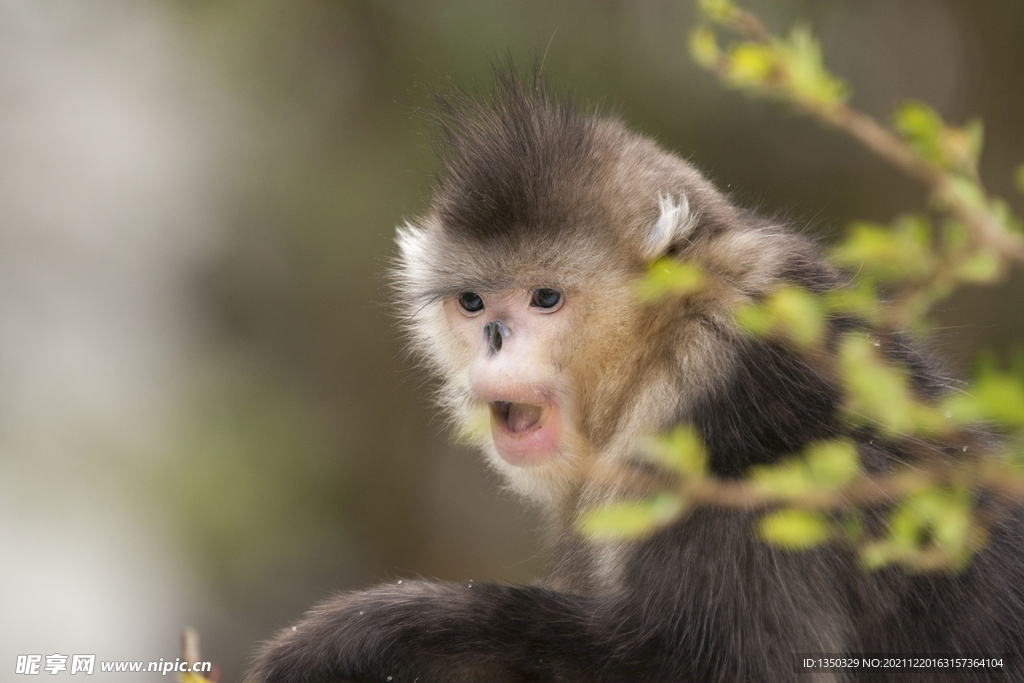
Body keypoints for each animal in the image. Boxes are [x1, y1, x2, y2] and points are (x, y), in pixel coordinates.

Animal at [247, 70, 1024, 683]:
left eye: (546, 298)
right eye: (472, 303)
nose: (494, 343)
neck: (664, 342)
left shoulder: (725, 467)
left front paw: (360, 636)